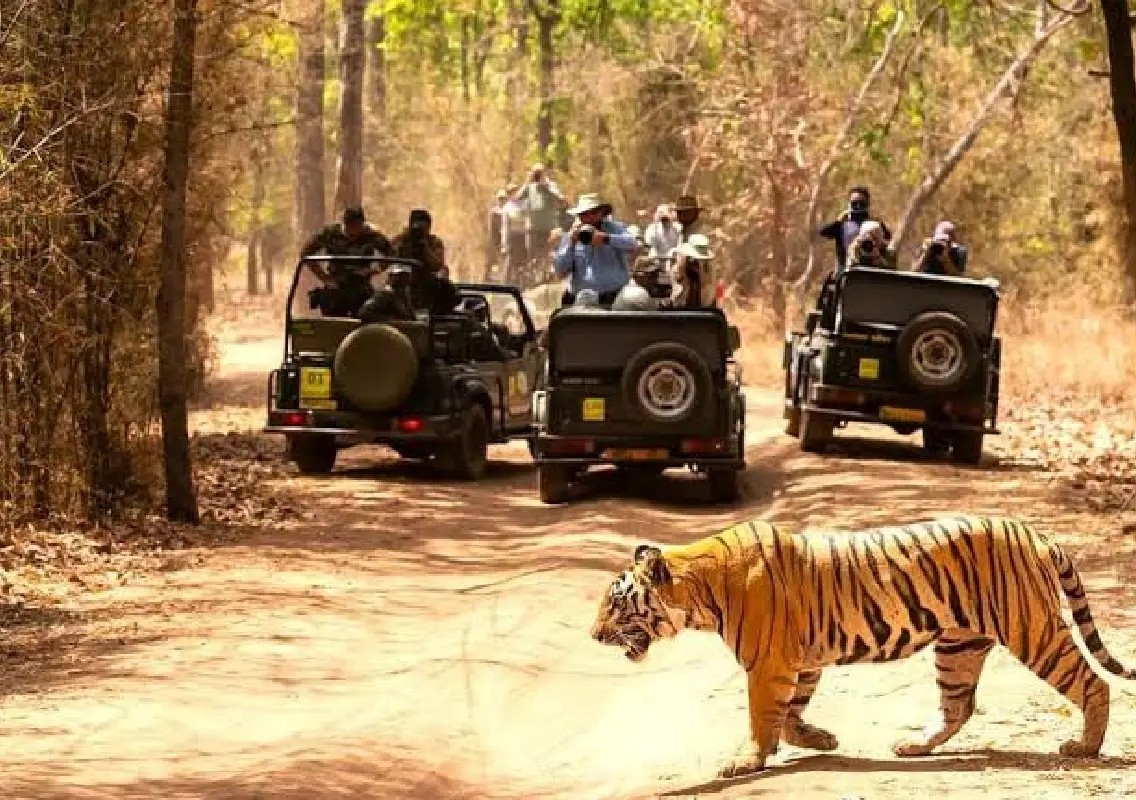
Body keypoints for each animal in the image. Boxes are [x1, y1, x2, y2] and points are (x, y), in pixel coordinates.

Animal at [589, 515, 1135, 780]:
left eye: (616, 602)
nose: (592, 635)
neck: (700, 589)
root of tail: (1038, 534)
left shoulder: (769, 663)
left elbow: (763, 716)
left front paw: (747, 761)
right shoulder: (800, 660)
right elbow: (791, 713)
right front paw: (821, 739)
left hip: (1034, 631)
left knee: (1093, 682)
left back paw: (1084, 747)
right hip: (958, 647)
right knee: (958, 705)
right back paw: (912, 746)